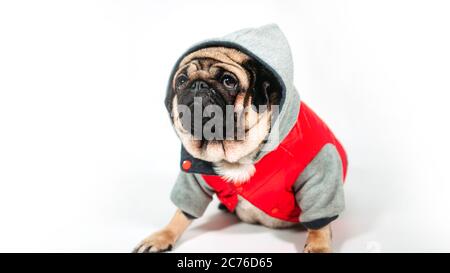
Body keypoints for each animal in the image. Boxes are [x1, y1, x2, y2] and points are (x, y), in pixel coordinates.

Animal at [134, 25, 348, 253]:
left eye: (229, 81)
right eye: (182, 80)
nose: (198, 84)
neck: (232, 151)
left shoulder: (320, 169)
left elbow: (320, 220)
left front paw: (318, 245)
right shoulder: (192, 177)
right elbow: (182, 212)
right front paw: (163, 235)